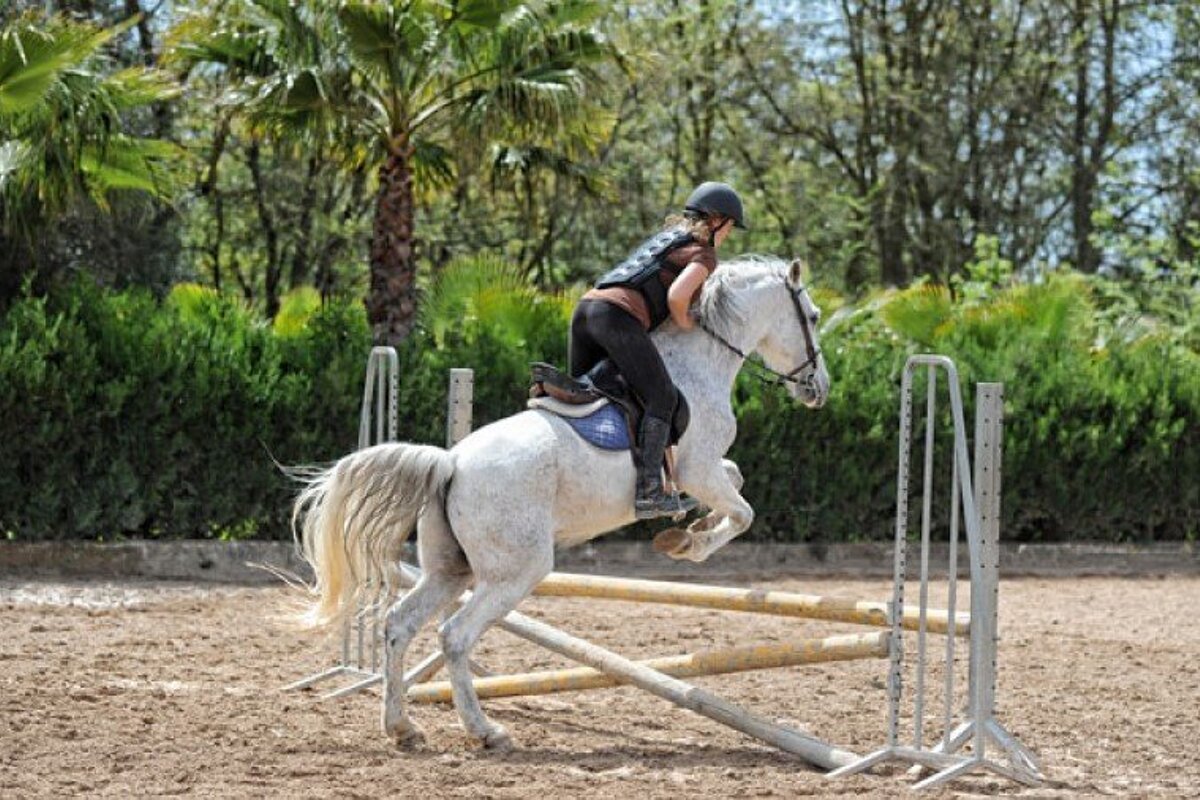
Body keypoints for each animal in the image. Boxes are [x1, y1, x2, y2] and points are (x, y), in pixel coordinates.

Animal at [292, 255, 830, 749]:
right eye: (814, 315)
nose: (819, 389)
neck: (699, 360)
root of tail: (452, 463)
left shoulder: (702, 471)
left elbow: (734, 485)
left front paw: (687, 527)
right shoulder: (698, 467)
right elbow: (742, 510)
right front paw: (687, 543)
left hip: (450, 569)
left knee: (399, 625)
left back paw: (402, 727)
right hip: (516, 571)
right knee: (455, 636)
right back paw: (485, 731)